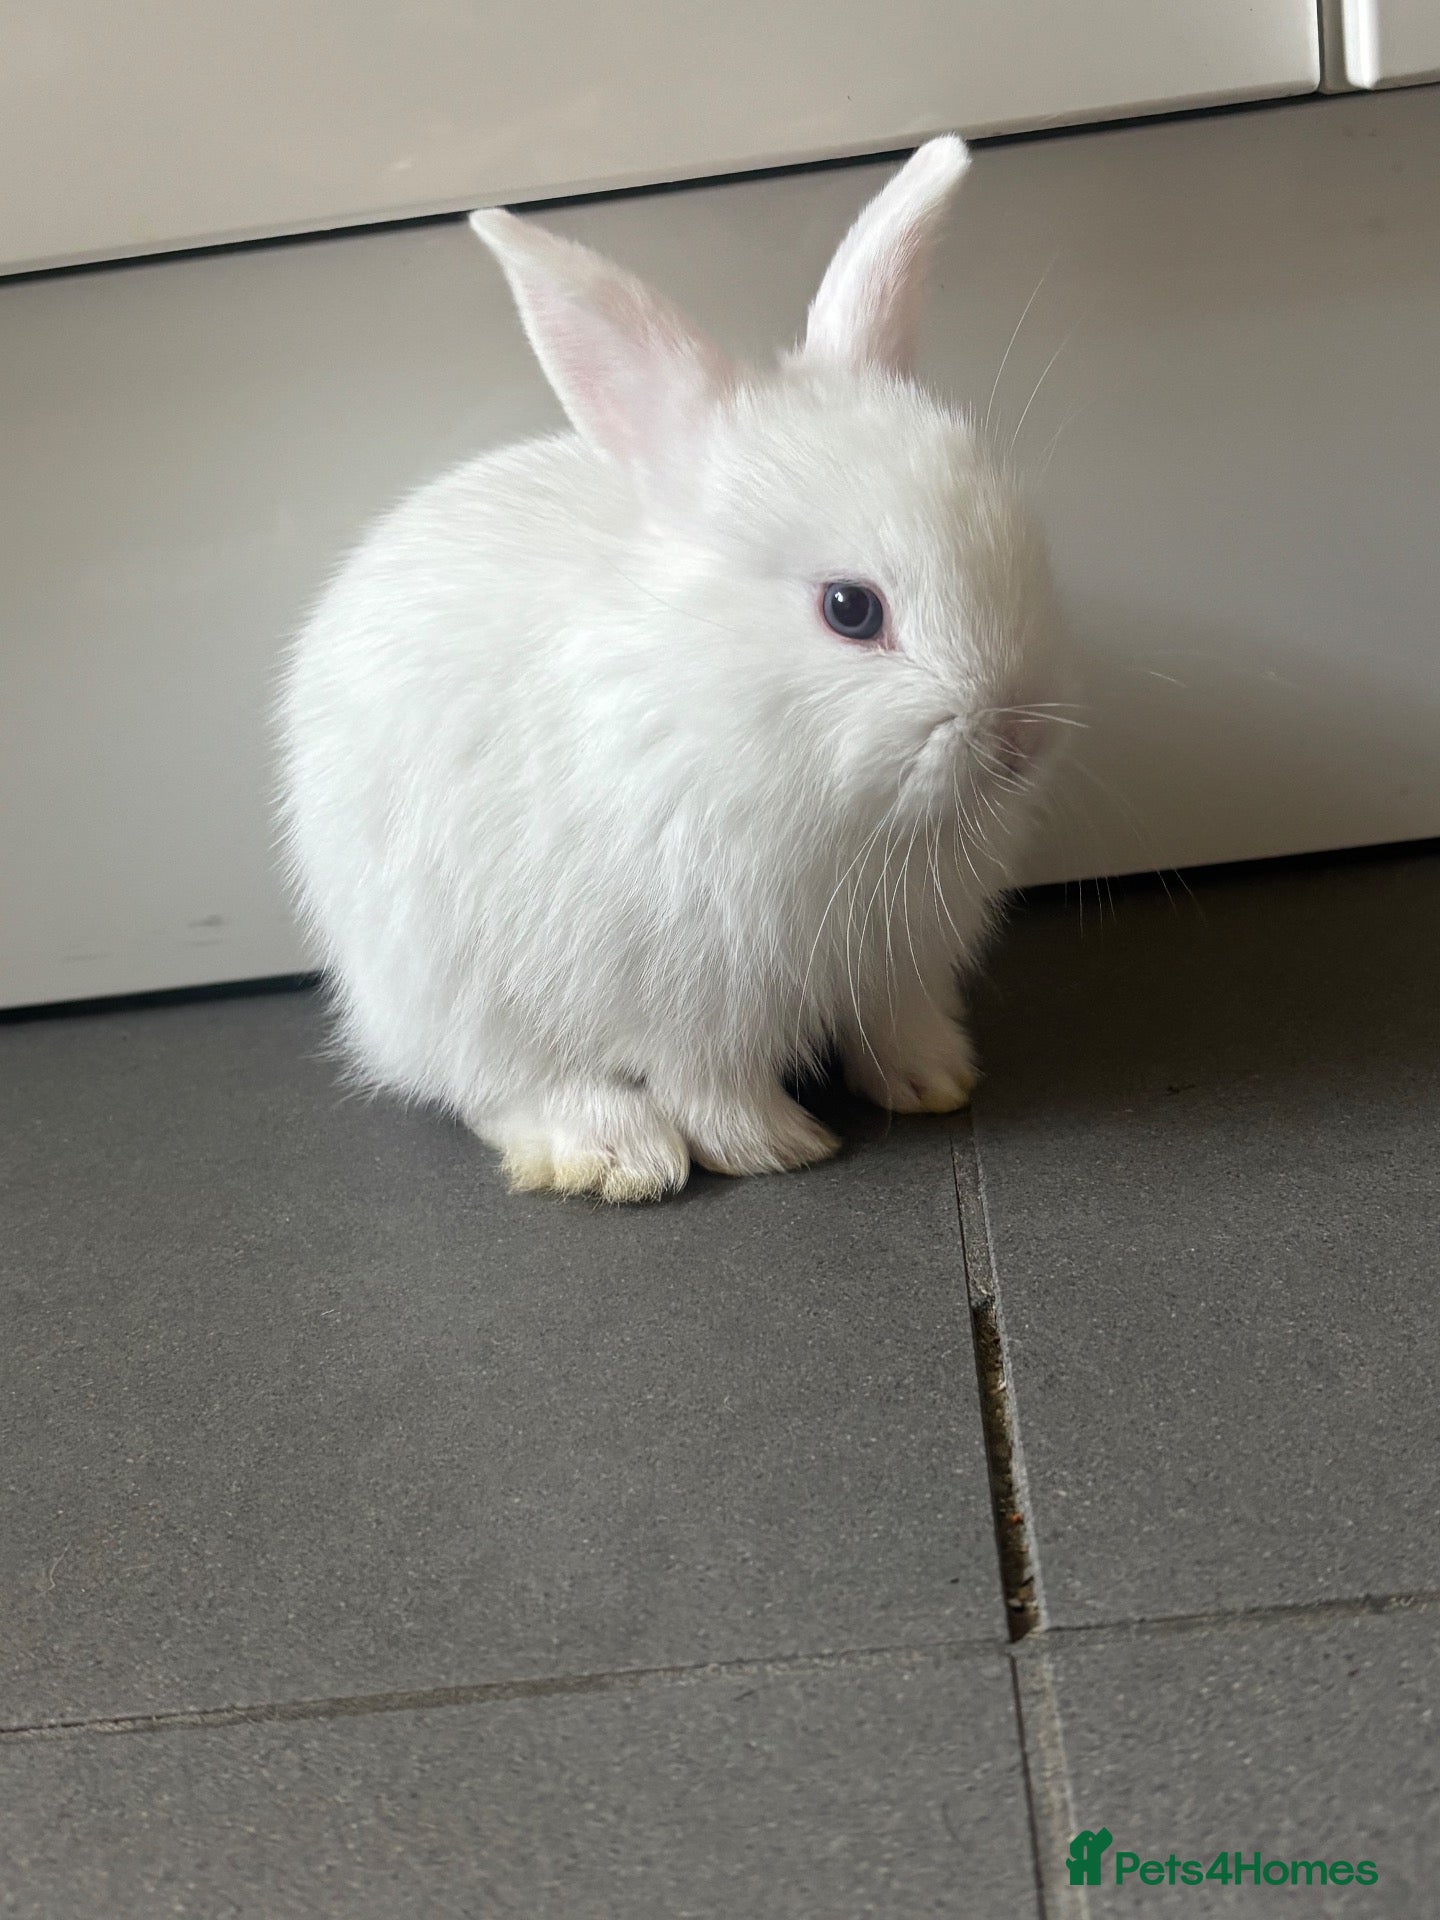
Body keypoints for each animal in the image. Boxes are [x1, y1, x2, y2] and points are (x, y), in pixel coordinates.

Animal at [277, 135, 1075, 1204]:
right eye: (851, 609)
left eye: (1020, 540)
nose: (1019, 738)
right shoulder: (687, 994)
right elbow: (711, 1086)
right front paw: (776, 1148)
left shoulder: (896, 961)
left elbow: (894, 1024)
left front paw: (935, 1083)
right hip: (453, 986)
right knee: (495, 1087)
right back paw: (615, 1154)